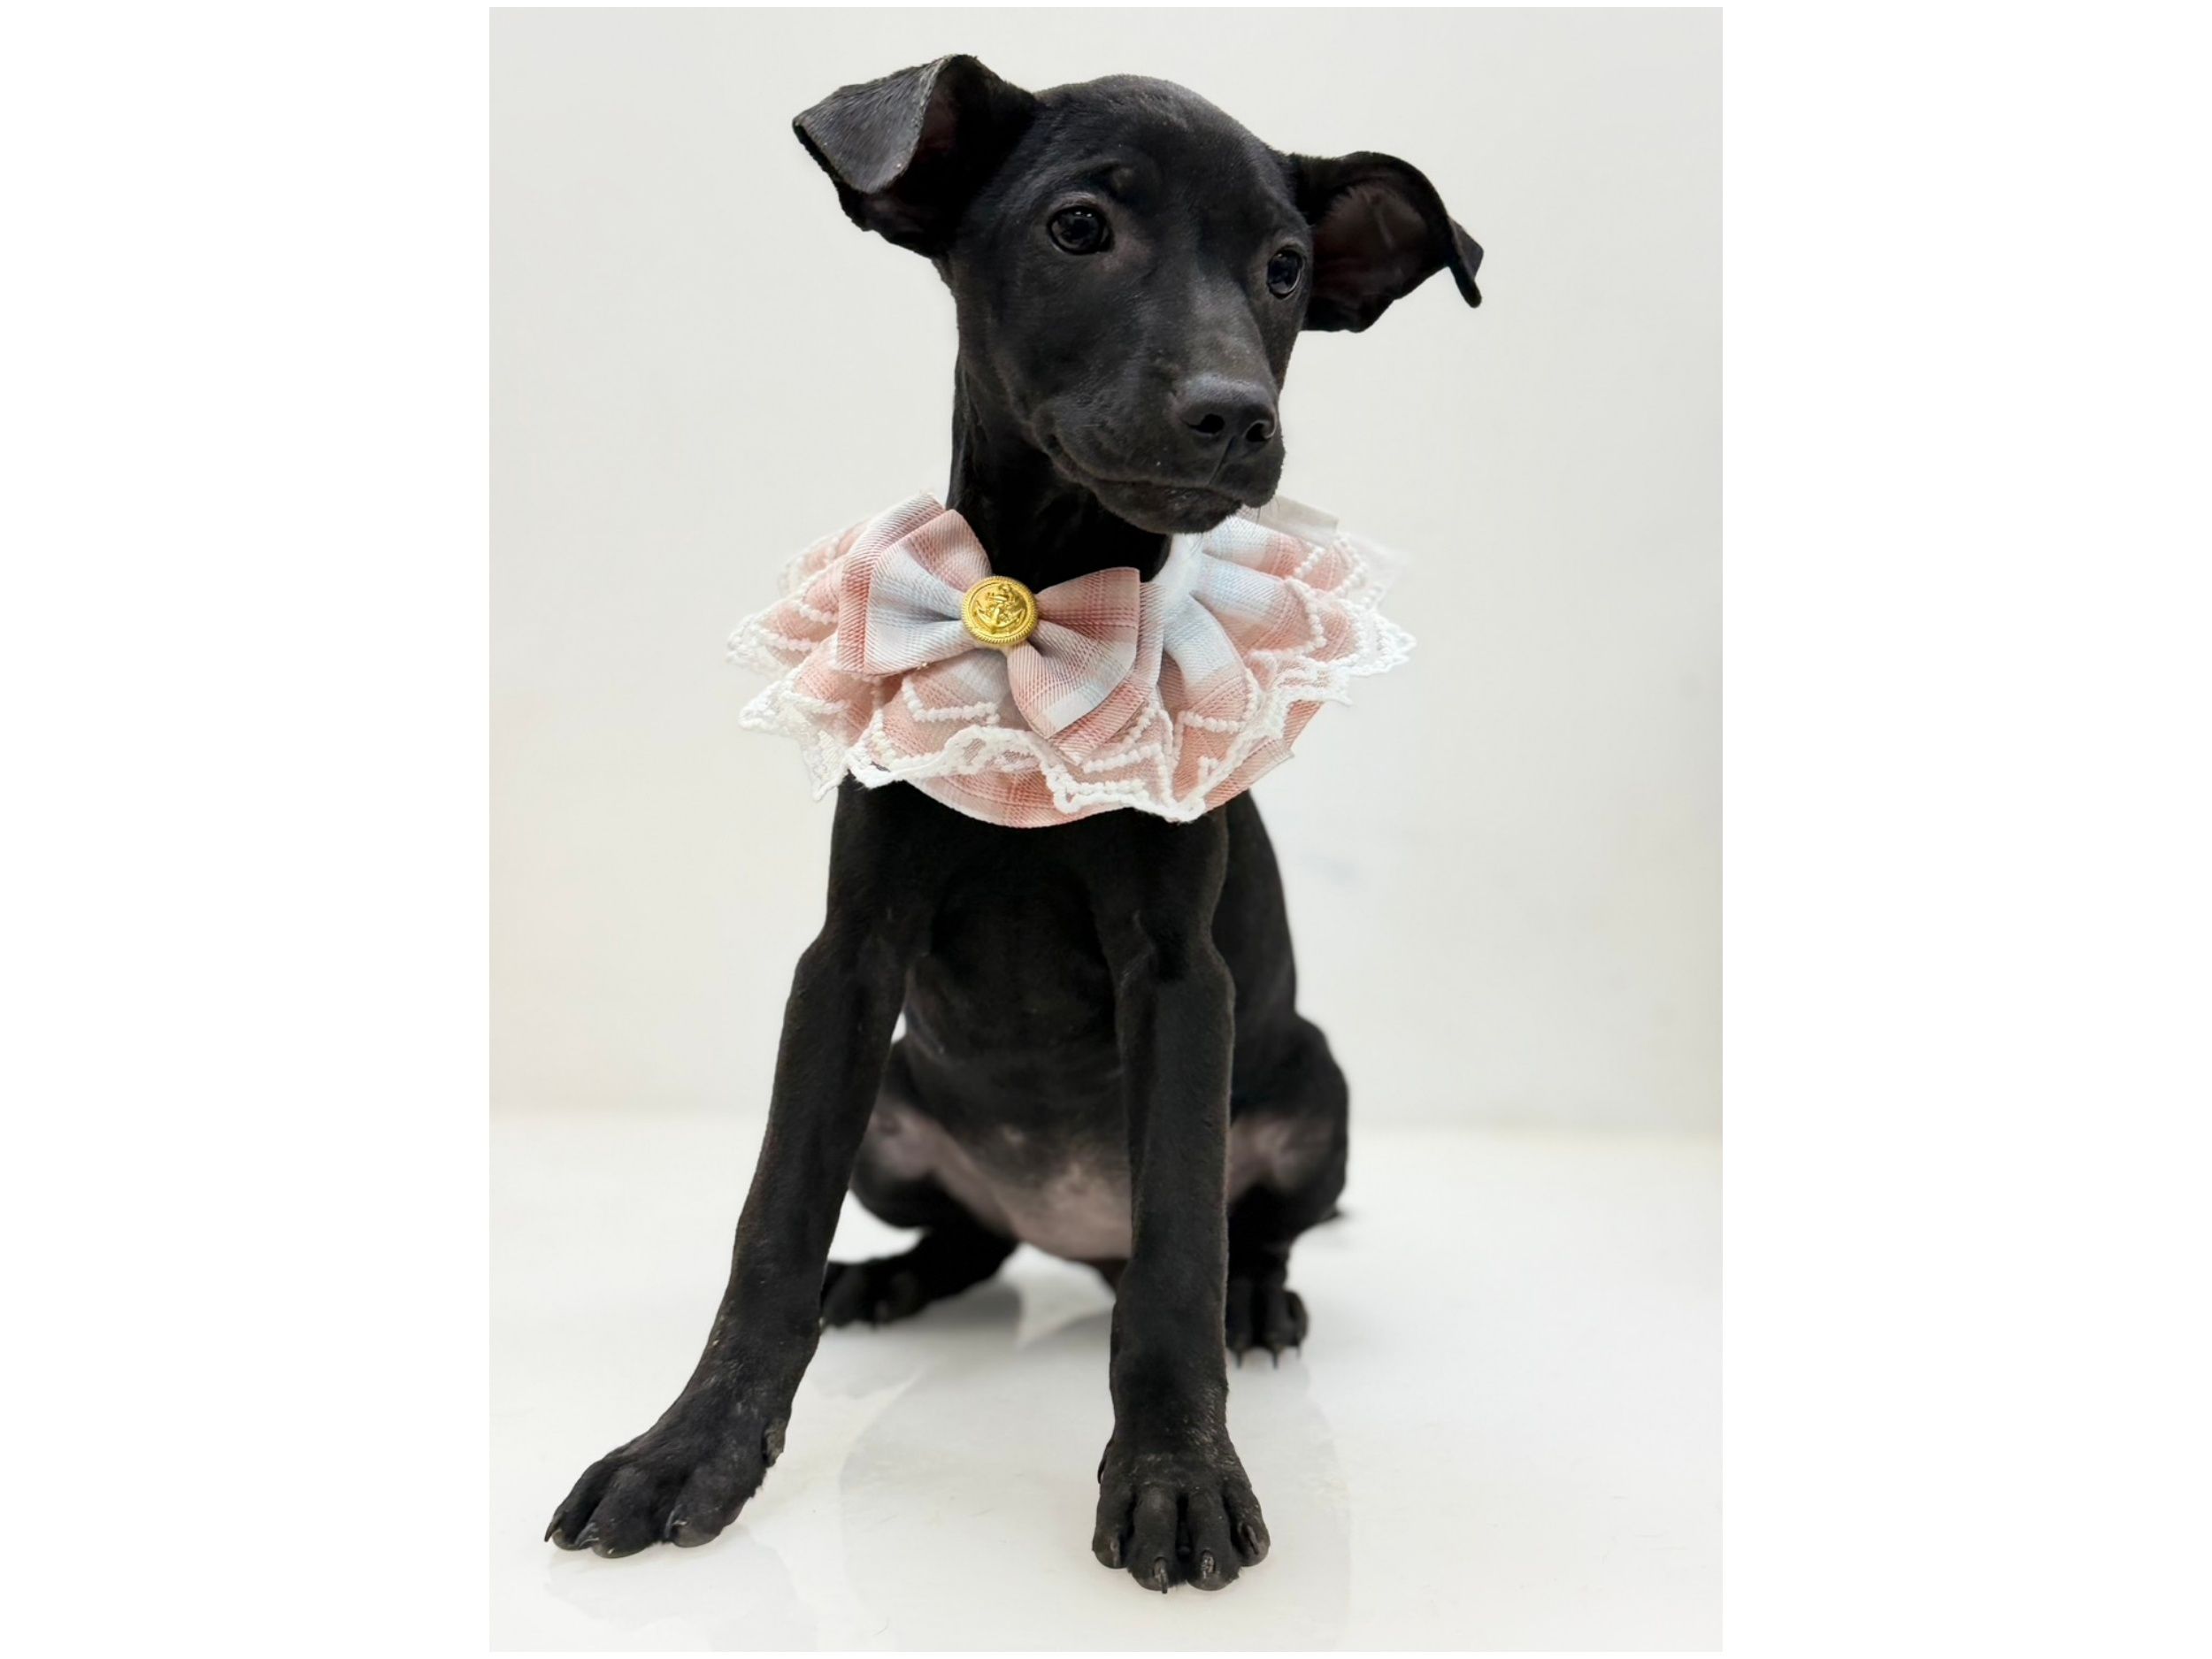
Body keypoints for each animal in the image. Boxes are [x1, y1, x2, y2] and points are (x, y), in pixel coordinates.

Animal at [548, 54, 1481, 1593]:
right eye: (1079, 228)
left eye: (1286, 269)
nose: (1234, 411)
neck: (1040, 602)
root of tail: (1070, 1227)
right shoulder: (848, 960)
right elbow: (769, 1226)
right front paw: (689, 1450)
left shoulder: (1182, 976)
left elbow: (1176, 1261)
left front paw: (1176, 1475)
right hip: (899, 1107)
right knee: (969, 1244)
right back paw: (883, 1278)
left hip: (1314, 1091)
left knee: (1226, 1235)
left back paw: (1257, 1299)